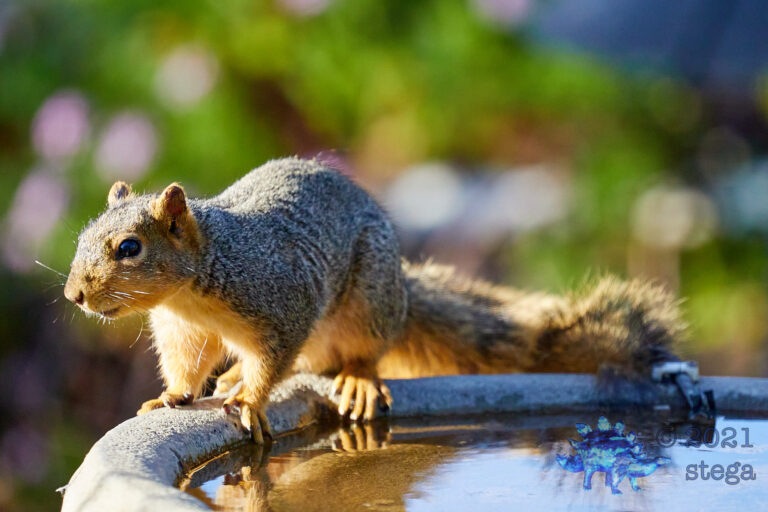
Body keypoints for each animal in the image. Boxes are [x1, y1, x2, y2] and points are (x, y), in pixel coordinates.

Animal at [64, 157, 709, 442]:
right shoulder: (183, 329)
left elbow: (272, 361)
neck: (196, 286)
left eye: (129, 248)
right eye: (82, 235)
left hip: (368, 306)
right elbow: (186, 365)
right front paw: (173, 396)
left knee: (349, 355)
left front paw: (248, 398)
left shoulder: (283, 304)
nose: (74, 294)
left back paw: (353, 380)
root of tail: (401, 287)